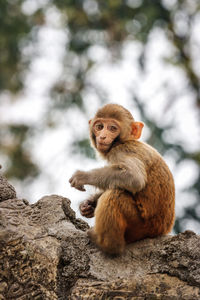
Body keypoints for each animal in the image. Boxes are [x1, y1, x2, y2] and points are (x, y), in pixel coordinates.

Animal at [69, 104, 175, 254]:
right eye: (99, 126)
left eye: (112, 128)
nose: (102, 136)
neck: (124, 141)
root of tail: (161, 231)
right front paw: (88, 205)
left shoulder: (121, 151)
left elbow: (134, 178)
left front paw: (82, 176)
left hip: (140, 227)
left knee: (115, 195)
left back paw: (107, 245)